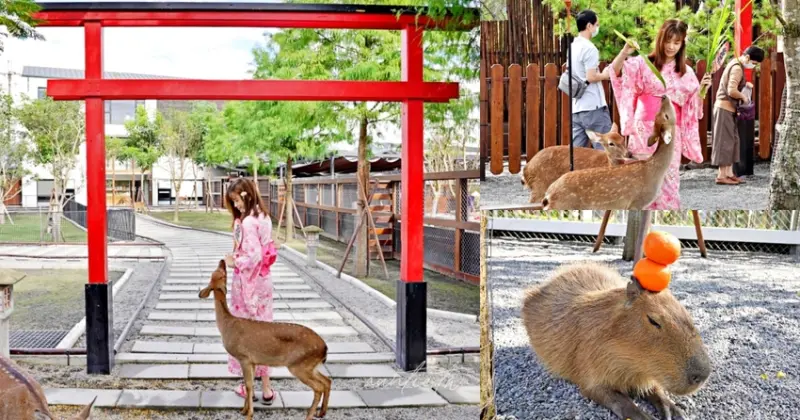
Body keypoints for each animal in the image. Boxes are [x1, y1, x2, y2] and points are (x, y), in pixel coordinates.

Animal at [199, 259, 331, 420]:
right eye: (215, 272)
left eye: (221, 274)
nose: (222, 261)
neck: (227, 324)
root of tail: (325, 348)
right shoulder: (253, 360)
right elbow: (249, 385)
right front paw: (244, 410)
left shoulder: (244, 357)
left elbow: (249, 385)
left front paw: (249, 414)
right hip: (310, 365)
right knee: (327, 381)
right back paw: (321, 412)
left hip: (299, 365)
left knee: (318, 387)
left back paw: (310, 416)